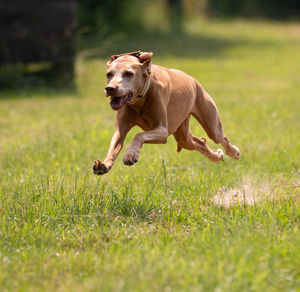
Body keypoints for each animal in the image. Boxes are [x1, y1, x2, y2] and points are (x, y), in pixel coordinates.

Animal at [92, 50, 240, 176]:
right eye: (109, 74)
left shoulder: (163, 131)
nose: (110, 88)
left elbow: (139, 135)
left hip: (210, 123)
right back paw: (217, 156)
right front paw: (104, 165)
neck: (141, 99)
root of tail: (193, 80)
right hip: (183, 135)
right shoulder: (120, 130)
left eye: (128, 73)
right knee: (199, 143)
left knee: (221, 137)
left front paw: (131, 154)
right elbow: (114, 145)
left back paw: (234, 152)